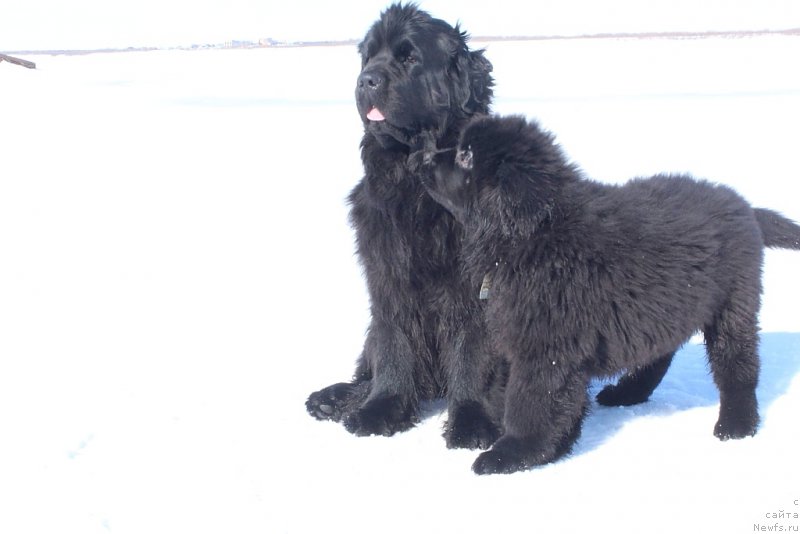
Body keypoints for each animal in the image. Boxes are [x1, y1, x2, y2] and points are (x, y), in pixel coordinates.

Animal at [306, 4, 506, 450]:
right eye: (368, 57)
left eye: (409, 57)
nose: (366, 80)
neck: (414, 181)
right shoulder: (387, 272)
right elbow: (394, 344)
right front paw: (380, 410)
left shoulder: (473, 285)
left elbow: (472, 352)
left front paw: (471, 421)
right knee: (369, 362)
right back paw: (332, 399)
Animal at [416, 115, 800, 476]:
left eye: (466, 156)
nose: (422, 157)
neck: (535, 236)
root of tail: (744, 205)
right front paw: (557, 446)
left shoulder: (545, 346)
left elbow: (531, 403)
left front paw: (511, 454)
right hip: (663, 306)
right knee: (659, 353)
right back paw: (627, 392)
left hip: (733, 304)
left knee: (737, 365)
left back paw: (737, 424)